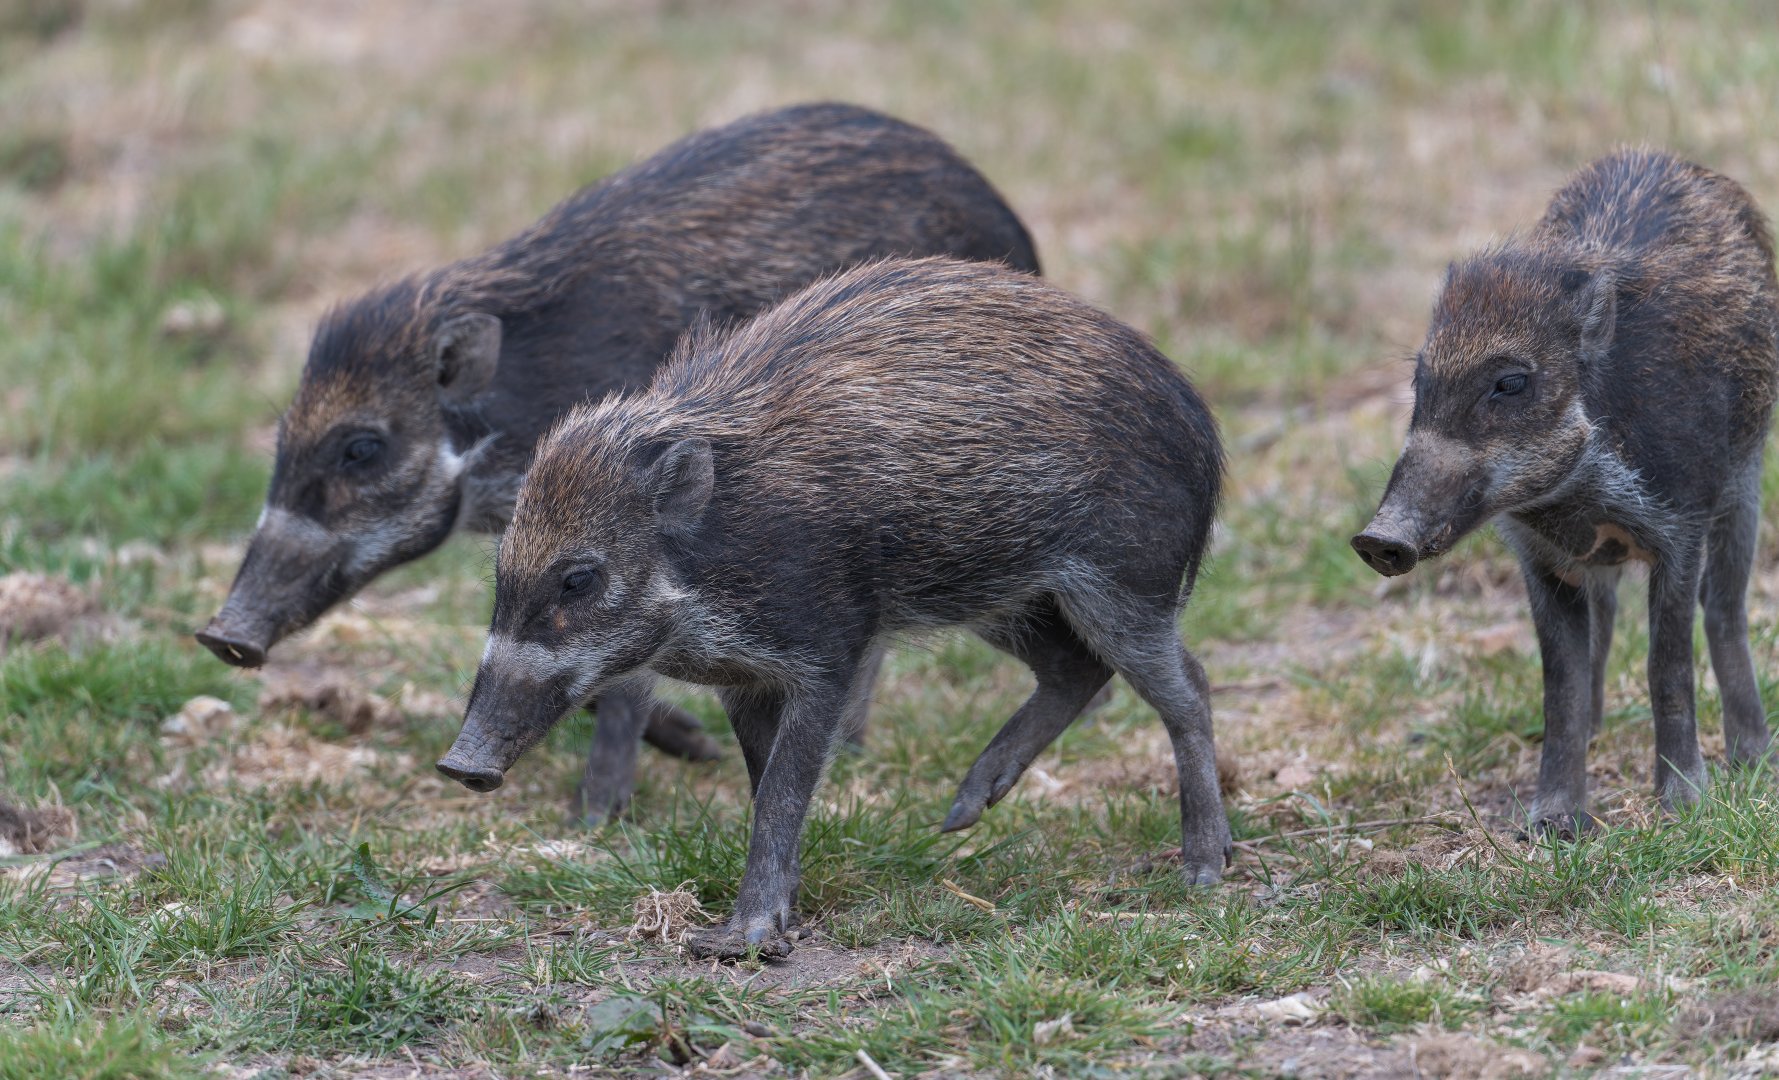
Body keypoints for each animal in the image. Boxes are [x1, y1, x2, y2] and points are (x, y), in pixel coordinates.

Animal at [193, 103, 1043, 823]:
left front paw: (598, 817)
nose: (220, 637)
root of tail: (1020, 239)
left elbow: (623, 674)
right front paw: (688, 747)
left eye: (362, 446)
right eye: (282, 440)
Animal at [437, 257, 1229, 959]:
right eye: (501, 573)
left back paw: (1203, 870)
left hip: (1122, 581)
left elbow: (784, 790)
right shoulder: (743, 680)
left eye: (579, 578)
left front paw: (741, 942)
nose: (460, 766)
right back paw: (958, 816)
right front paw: (782, 913)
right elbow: (761, 782)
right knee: (1075, 671)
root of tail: (1198, 421)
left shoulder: (826, 653)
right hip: (1004, 598)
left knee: (1186, 686)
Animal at [1352, 148, 1778, 834]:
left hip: (1746, 482)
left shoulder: (1680, 527)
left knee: (1725, 607)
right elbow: (1561, 683)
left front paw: (1685, 806)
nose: (1376, 539)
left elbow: (1667, 664)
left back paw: (1752, 759)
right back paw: (1602, 735)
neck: (1575, 499)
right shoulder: (1543, 558)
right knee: (1605, 621)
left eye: (1510, 382)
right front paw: (1550, 824)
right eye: (1420, 380)